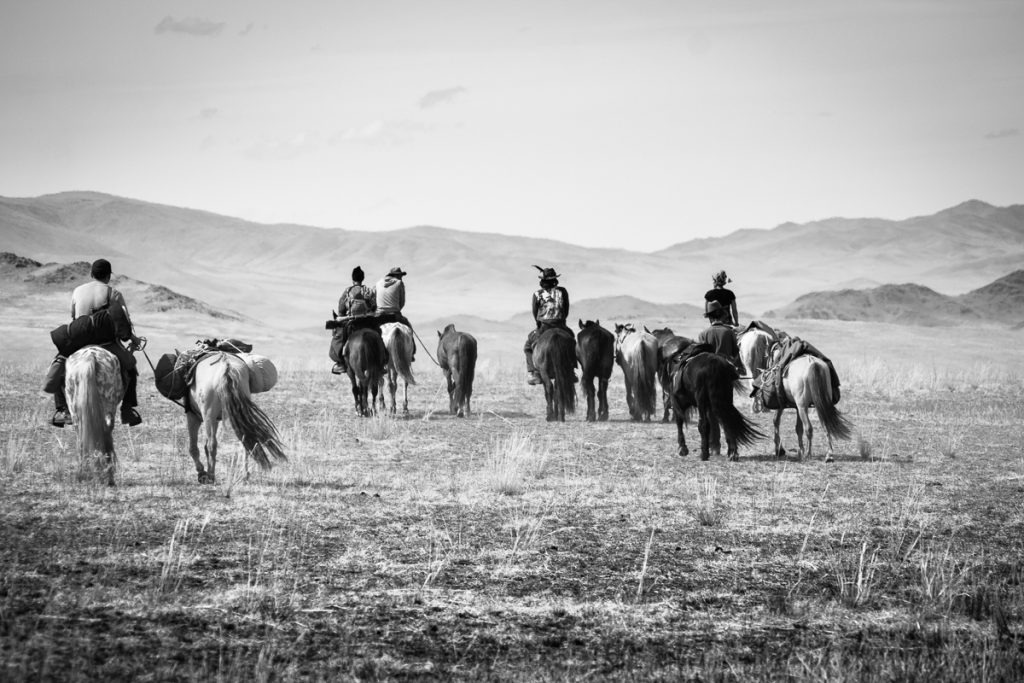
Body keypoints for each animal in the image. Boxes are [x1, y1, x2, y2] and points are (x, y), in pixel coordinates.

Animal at [64, 348, 122, 485]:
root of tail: (90, 355)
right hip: (108, 407)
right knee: (106, 432)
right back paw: (108, 475)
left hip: (75, 411)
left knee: (81, 436)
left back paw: (84, 473)